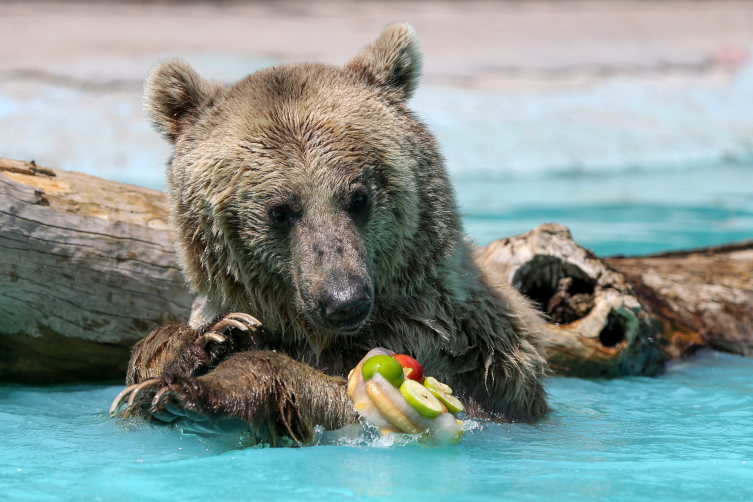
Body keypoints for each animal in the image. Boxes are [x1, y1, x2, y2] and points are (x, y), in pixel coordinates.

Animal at [110, 22, 548, 444]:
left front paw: (208, 392)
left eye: (358, 196)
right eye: (279, 210)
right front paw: (211, 339)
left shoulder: (447, 345)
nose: (344, 300)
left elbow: (350, 398)